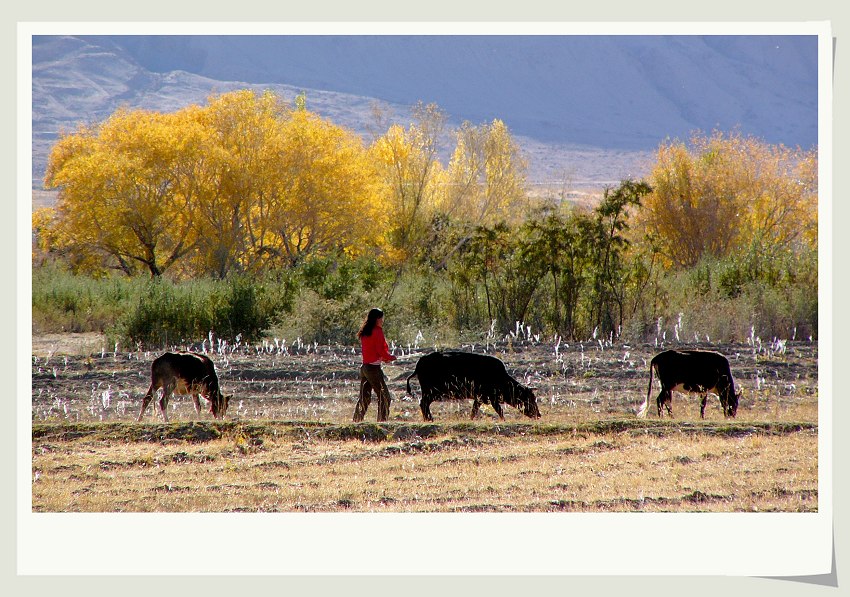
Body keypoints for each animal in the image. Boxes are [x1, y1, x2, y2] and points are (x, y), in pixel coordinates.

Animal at [402, 352, 536, 422]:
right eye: (529, 399)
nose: (538, 415)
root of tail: (419, 364)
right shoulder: (491, 398)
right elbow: (499, 410)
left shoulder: (480, 398)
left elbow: (474, 410)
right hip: (430, 392)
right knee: (423, 403)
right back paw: (430, 419)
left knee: (423, 404)